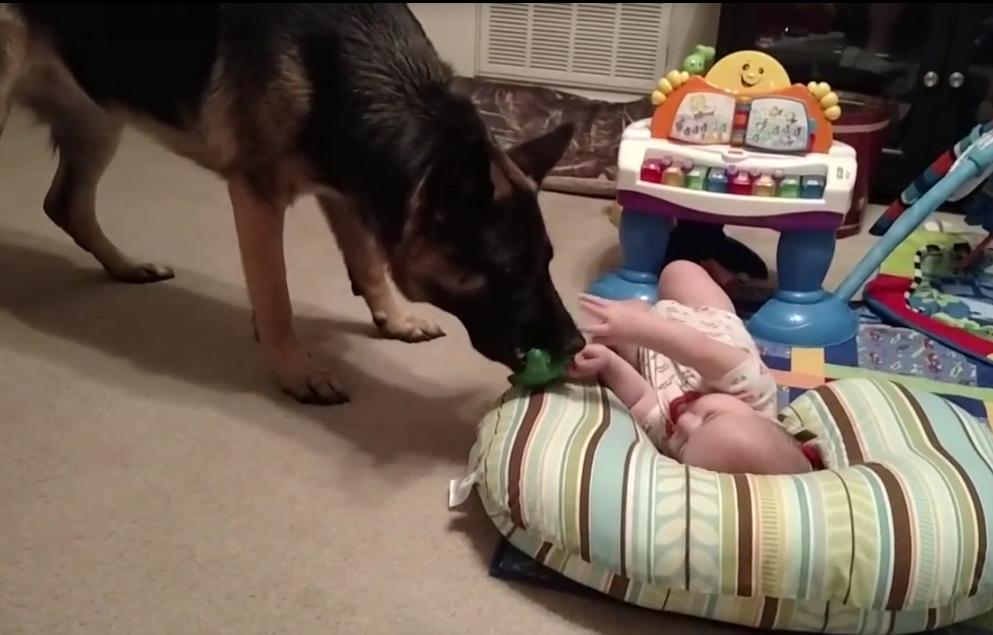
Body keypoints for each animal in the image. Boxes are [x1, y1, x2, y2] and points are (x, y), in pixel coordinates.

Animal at [0, 3, 584, 402]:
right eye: (507, 270)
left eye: (547, 261)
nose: (577, 346)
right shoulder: (257, 197)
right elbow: (275, 294)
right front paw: (296, 370)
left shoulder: (346, 187)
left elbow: (368, 264)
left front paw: (394, 320)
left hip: (98, 115)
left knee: (65, 204)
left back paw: (126, 266)